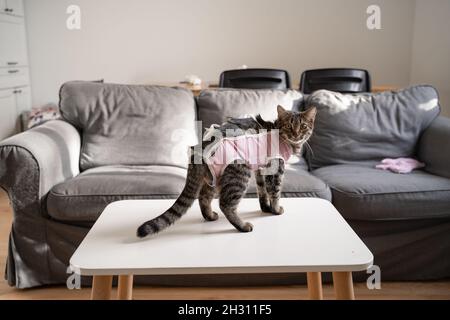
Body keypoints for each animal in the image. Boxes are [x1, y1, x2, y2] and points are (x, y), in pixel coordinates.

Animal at [137, 105, 316, 238]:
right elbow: (275, 192)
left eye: (303, 126)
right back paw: (242, 226)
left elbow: (262, 191)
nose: (296, 134)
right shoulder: (275, 170)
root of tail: (198, 150)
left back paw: (210, 216)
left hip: (214, 178)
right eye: (289, 126)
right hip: (239, 175)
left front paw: (265, 207)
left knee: (203, 197)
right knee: (226, 204)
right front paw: (276, 210)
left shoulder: (260, 170)